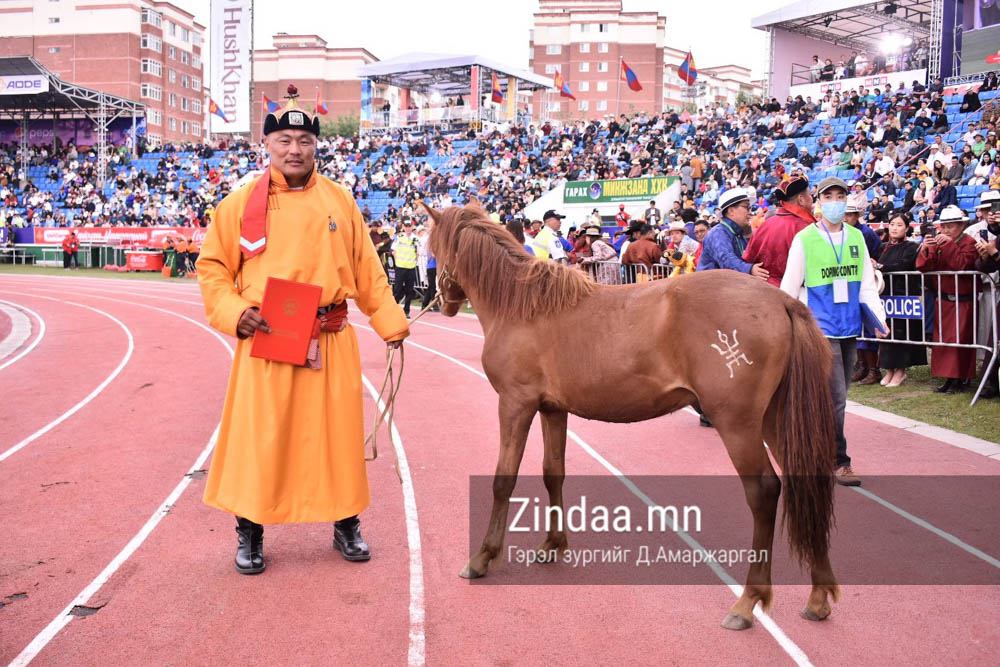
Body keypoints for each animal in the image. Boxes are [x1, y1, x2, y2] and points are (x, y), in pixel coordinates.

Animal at [422, 200, 839, 630]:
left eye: (432, 246)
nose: (443, 300)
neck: (524, 306)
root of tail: (782, 301)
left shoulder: (514, 404)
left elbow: (503, 479)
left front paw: (482, 557)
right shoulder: (552, 409)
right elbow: (553, 472)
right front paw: (553, 544)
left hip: (738, 423)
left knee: (764, 492)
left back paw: (747, 601)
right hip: (775, 419)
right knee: (806, 480)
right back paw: (818, 597)